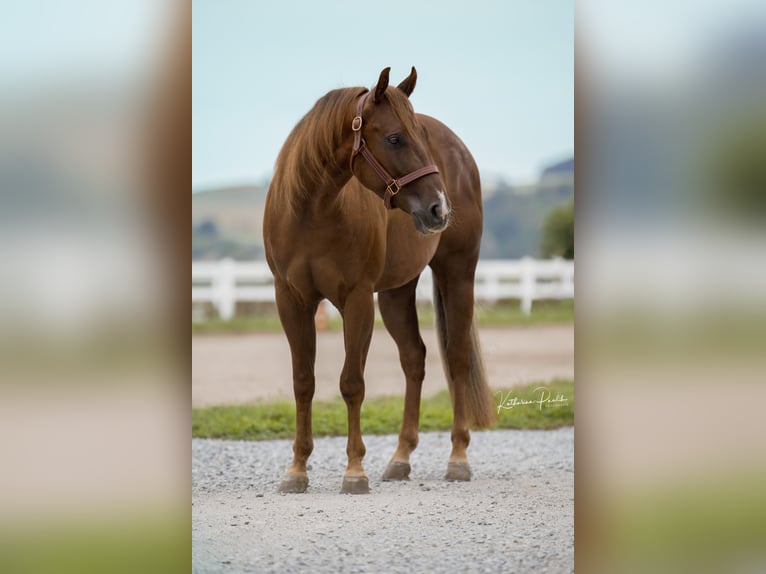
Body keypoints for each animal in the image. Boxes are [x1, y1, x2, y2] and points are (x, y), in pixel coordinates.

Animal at [263, 67, 496, 494]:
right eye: (395, 138)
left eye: (420, 135)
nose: (439, 207)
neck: (312, 211)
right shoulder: (291, 300)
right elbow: (303, 381)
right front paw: (297, 469)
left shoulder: (356, 300)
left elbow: (352, 382)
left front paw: (354, 471)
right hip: (395, 293)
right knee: (414, 358)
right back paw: (400, 458)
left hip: (457, 274)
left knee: (456, 357)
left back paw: (458, 458)